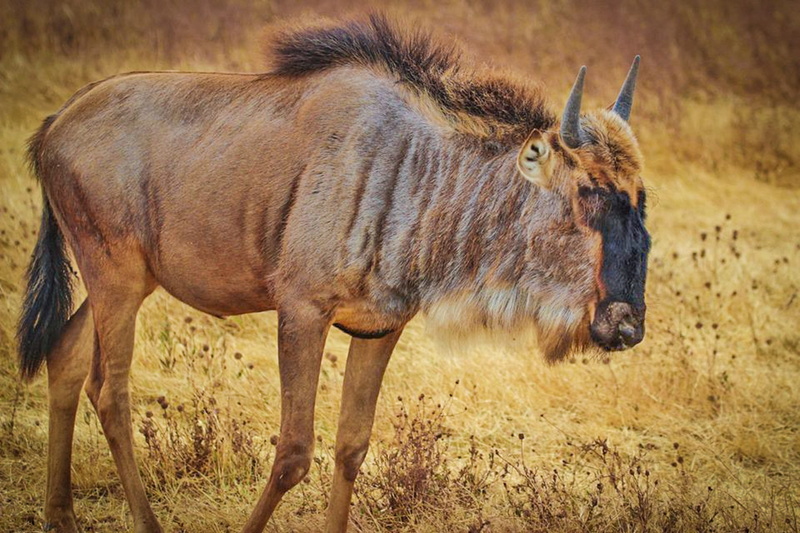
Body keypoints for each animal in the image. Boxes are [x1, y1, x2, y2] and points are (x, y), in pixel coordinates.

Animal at [18, 15, 650, 533]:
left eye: (641, 199)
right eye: (589, 192)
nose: (628, 325)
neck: (416, 172)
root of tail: (55, 121)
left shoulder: (380, 326)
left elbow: (352, 447)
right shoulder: (302, 311)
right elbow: (294, 453)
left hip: (123, 279)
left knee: (65, 356)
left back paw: (60, 516)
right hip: (115, 276)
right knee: (110, 391)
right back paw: (140, 521)